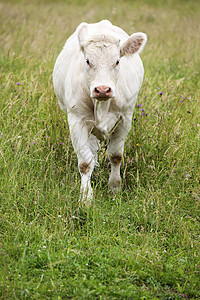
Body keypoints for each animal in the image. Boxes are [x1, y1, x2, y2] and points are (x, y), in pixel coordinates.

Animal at [53, 19, 147, 203]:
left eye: (117, 61)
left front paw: (115, 188)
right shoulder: (76, 119)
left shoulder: (125, 118)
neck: (102, 105)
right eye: (88, 61)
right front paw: (85, 196)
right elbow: (84, 162)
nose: (102, 89)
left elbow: (116, 156)